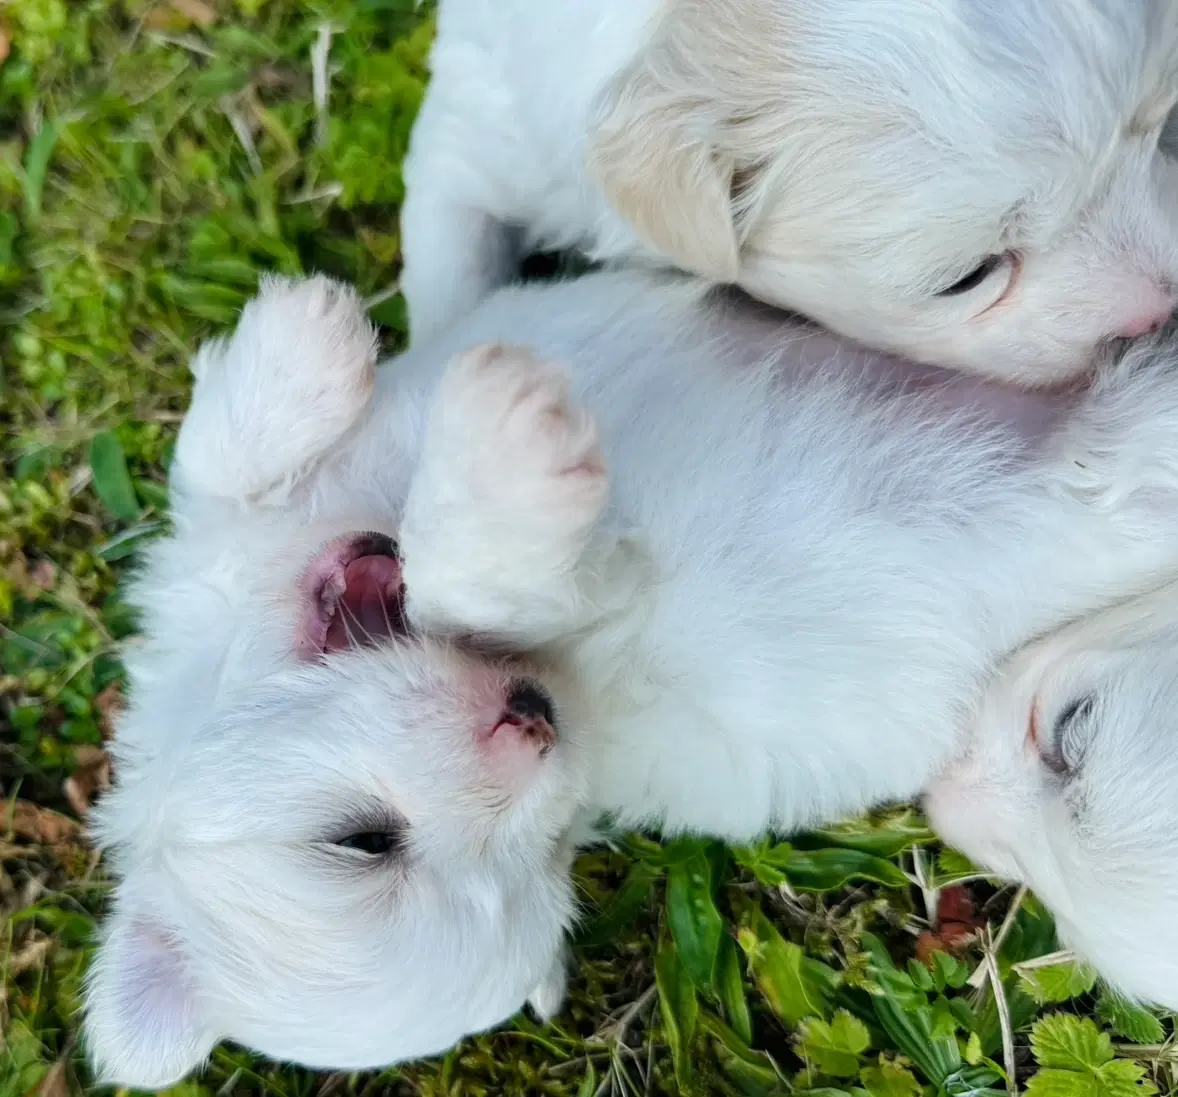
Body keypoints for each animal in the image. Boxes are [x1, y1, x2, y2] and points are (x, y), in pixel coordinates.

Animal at [87, 274, 1178, 1088]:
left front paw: (302, 339)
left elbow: (217, 466)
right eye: (528, 867)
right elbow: (474, 571)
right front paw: (490, 435)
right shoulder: (591, 604)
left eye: (354, 843)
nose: (529, 719)